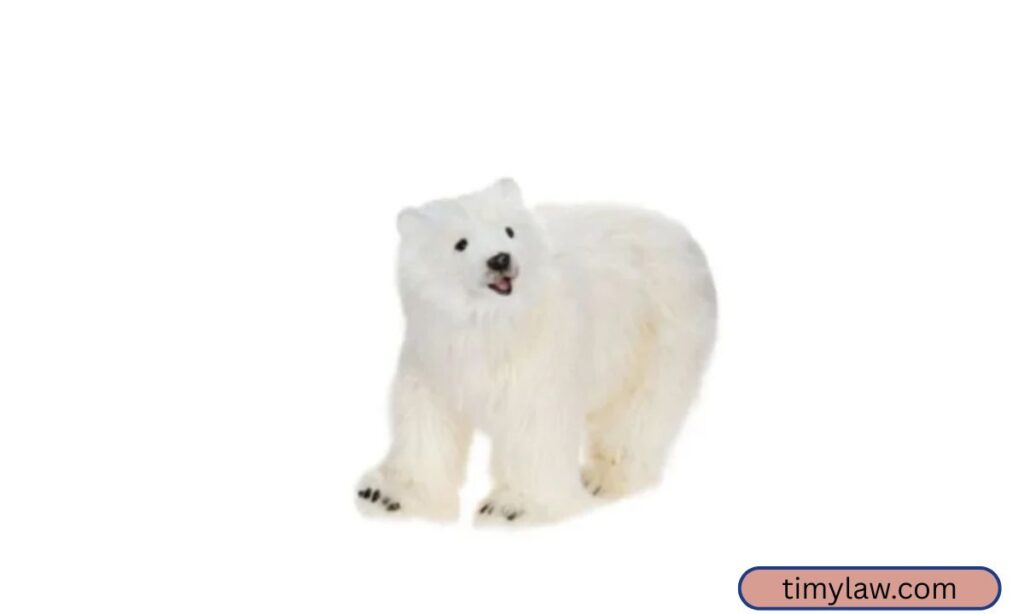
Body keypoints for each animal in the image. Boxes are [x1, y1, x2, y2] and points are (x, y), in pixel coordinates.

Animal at [356, 179, 717, 525]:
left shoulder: (540, 359)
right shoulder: (434, 354)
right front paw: (387, 495)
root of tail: (681, 234)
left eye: (509, 230)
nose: (500, 259)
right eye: (460, 243)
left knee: (640, 411)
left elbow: (534, 428)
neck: (492, 324)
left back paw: (603, 478)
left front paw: (512, 508)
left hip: (660, 330)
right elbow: (425, 420)